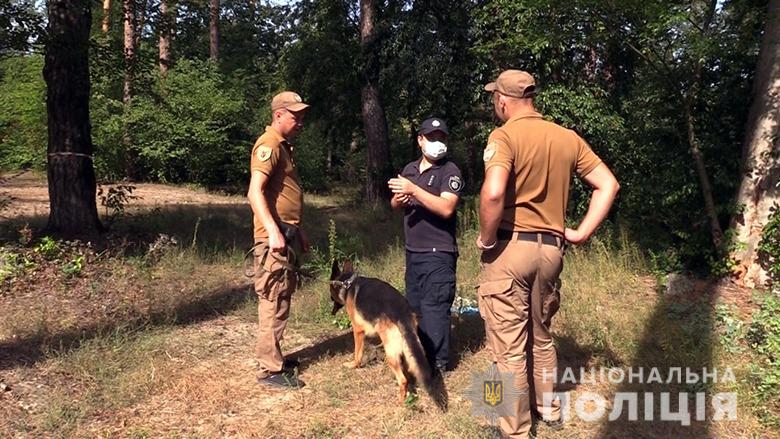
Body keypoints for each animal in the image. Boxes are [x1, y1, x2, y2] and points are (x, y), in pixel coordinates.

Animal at [330, 262, 444, 410]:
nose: (332, 312)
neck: (348, 283)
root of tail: (402, 314)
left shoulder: (358, 330)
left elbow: (357, 353)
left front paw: (353, 365)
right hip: (410, 345)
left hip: (390, 353)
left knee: (403, 380)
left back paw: (401, 401)